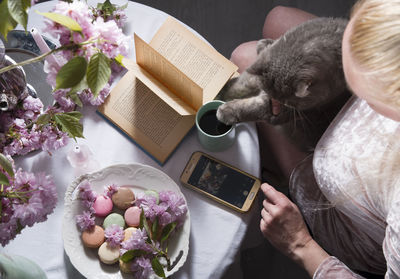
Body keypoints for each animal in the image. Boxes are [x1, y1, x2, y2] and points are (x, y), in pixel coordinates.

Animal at [216, 18, 350, 153]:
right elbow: (243, 85)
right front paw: (222, 93)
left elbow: (252, 107)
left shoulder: (284, 112)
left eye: (287, 103)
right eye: (275, 99)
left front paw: (225, 111)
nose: (276, 109)